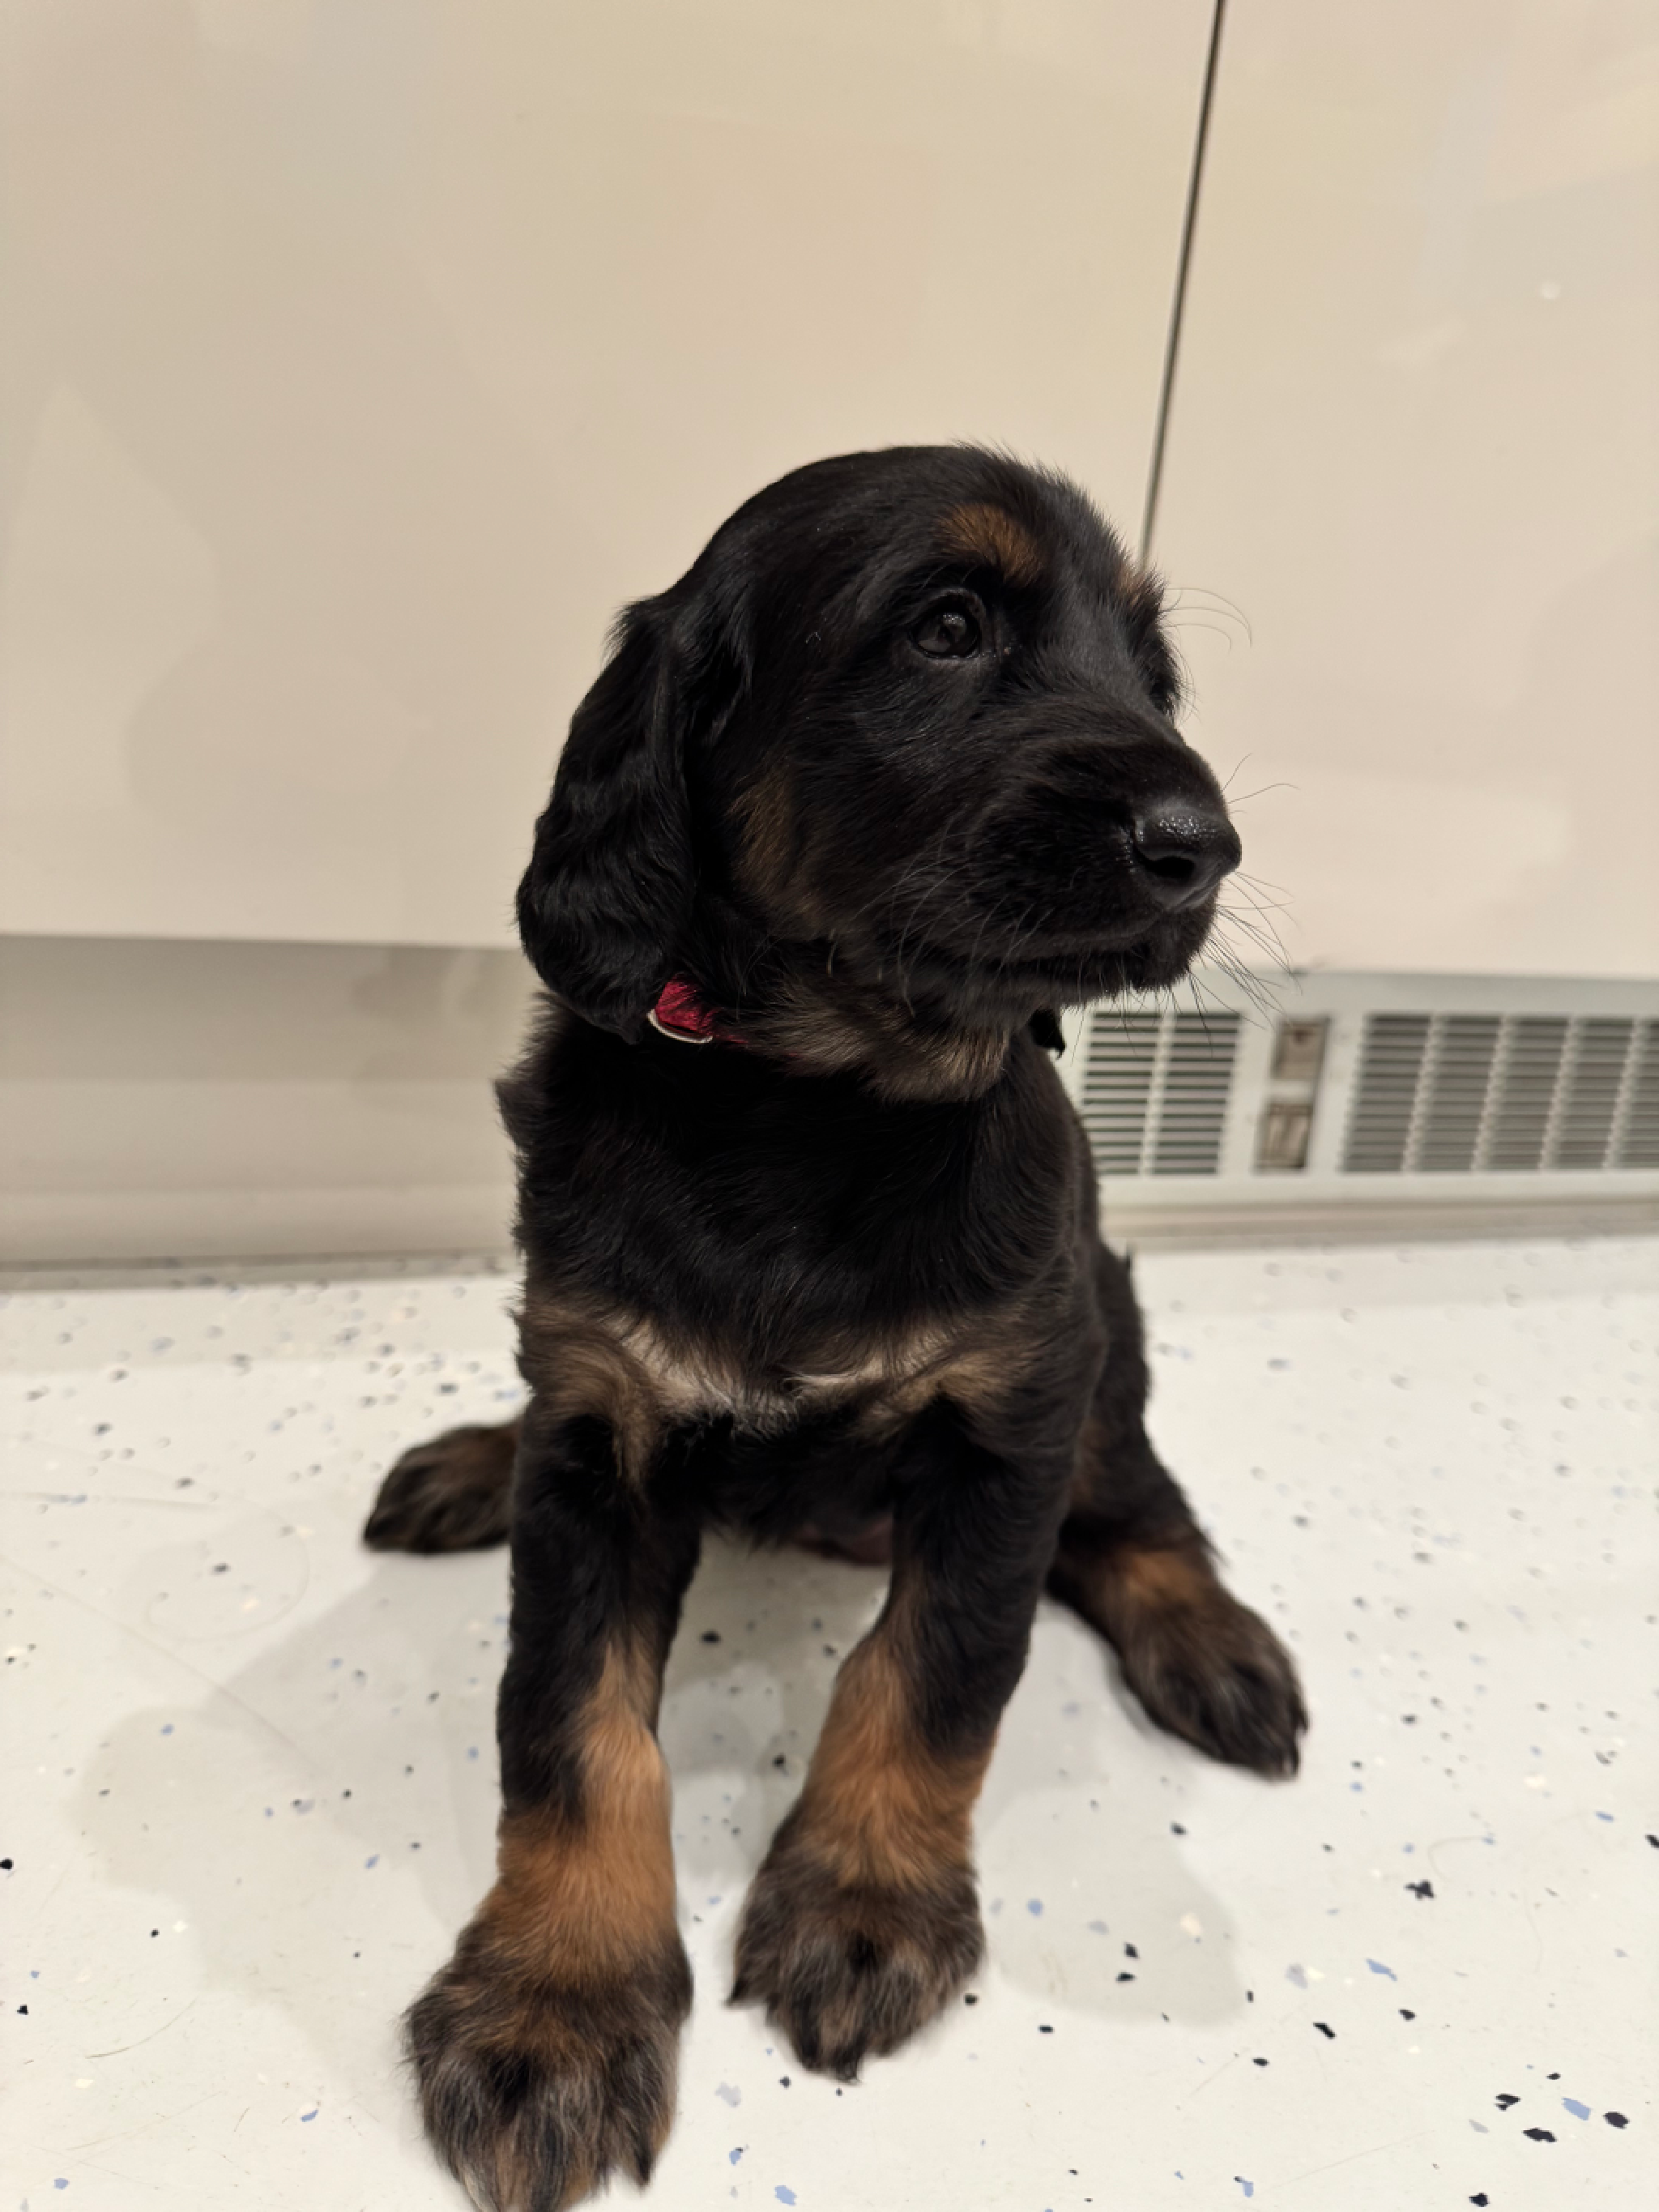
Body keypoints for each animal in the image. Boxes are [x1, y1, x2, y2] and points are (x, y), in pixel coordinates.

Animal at [364, 445, 1306, 2211]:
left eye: (1149, 677)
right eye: (943, 626)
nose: (1200, 844)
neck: (822, 1108)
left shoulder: (1013, 1414)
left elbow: (929, 1665)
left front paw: (863, 1905)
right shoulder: (600, 1427)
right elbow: (574, 1724)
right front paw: (553, 2005)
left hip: (1104, 1349)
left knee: (1137, 1511)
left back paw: (1213, 1644)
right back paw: (466, 1463)